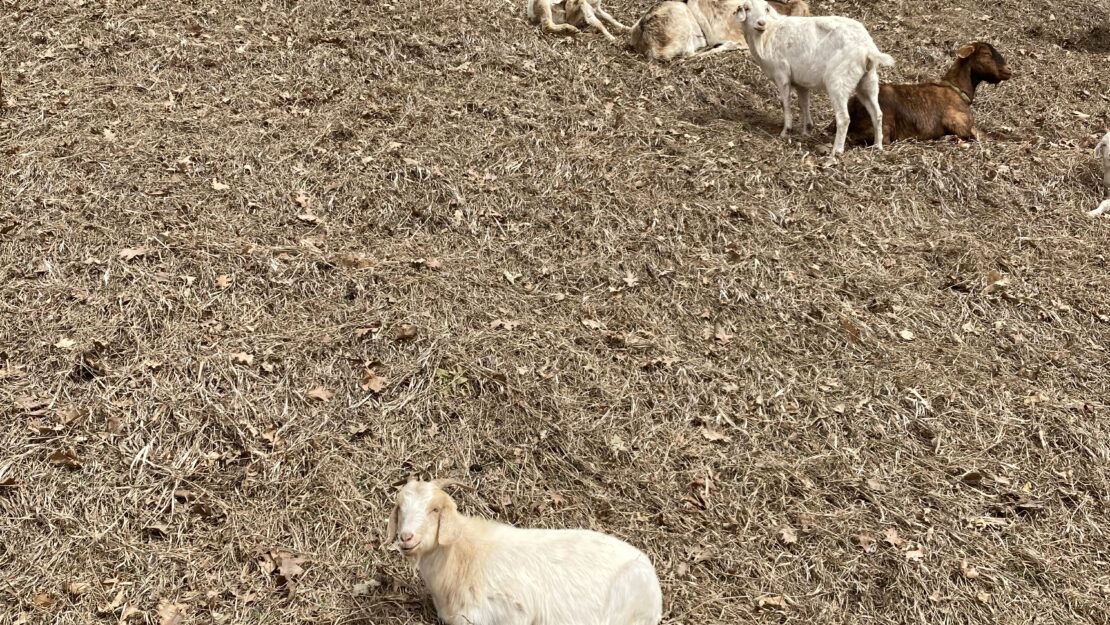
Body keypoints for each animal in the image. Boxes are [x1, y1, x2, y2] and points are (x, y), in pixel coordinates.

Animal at [732, 0, 896, 154]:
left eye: (766, 9)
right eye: (747, 8)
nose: (761, 23)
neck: (768, 34)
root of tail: (868, 49)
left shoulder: (781, 75)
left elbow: (785, 103)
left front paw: (786, 132)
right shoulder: (801, 83)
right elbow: (804, 104)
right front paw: (806, 131)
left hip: (839, 82)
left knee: (844, 118)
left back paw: (837, 151)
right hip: (868, 81)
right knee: (877, 113)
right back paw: (877, 146)